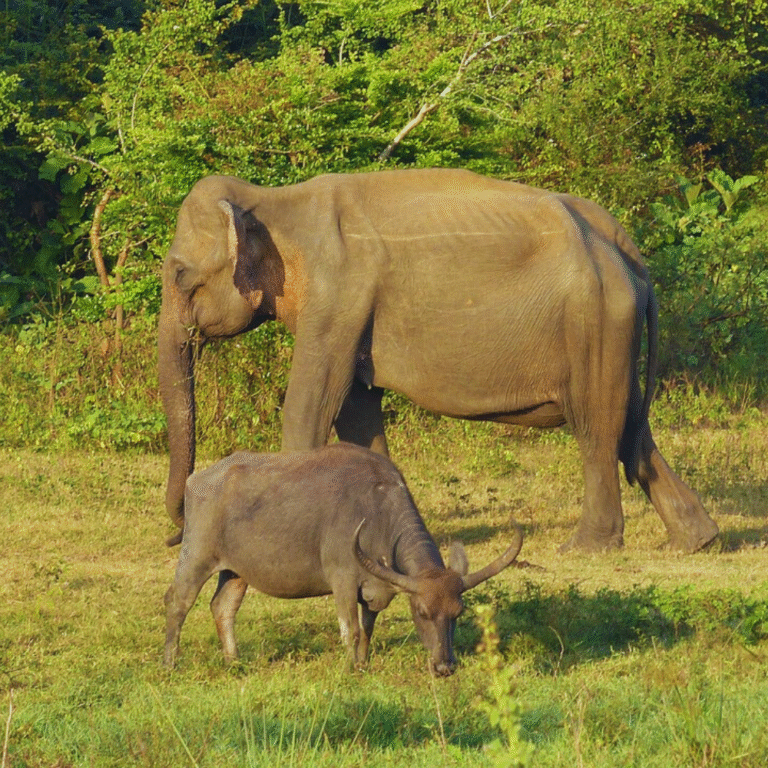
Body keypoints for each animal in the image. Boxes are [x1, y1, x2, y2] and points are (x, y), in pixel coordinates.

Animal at [157, 168, 719, 553]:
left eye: (181, 275)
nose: (176, 533)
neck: (274, 200)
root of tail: (627, 250)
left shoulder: (337, 298)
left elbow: (310, 407)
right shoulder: (350, 313)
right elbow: (357, 411)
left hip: (595, 320)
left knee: (596, 426)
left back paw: (586, 548)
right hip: (611, 328)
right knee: (630, 427)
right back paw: (698, 541)